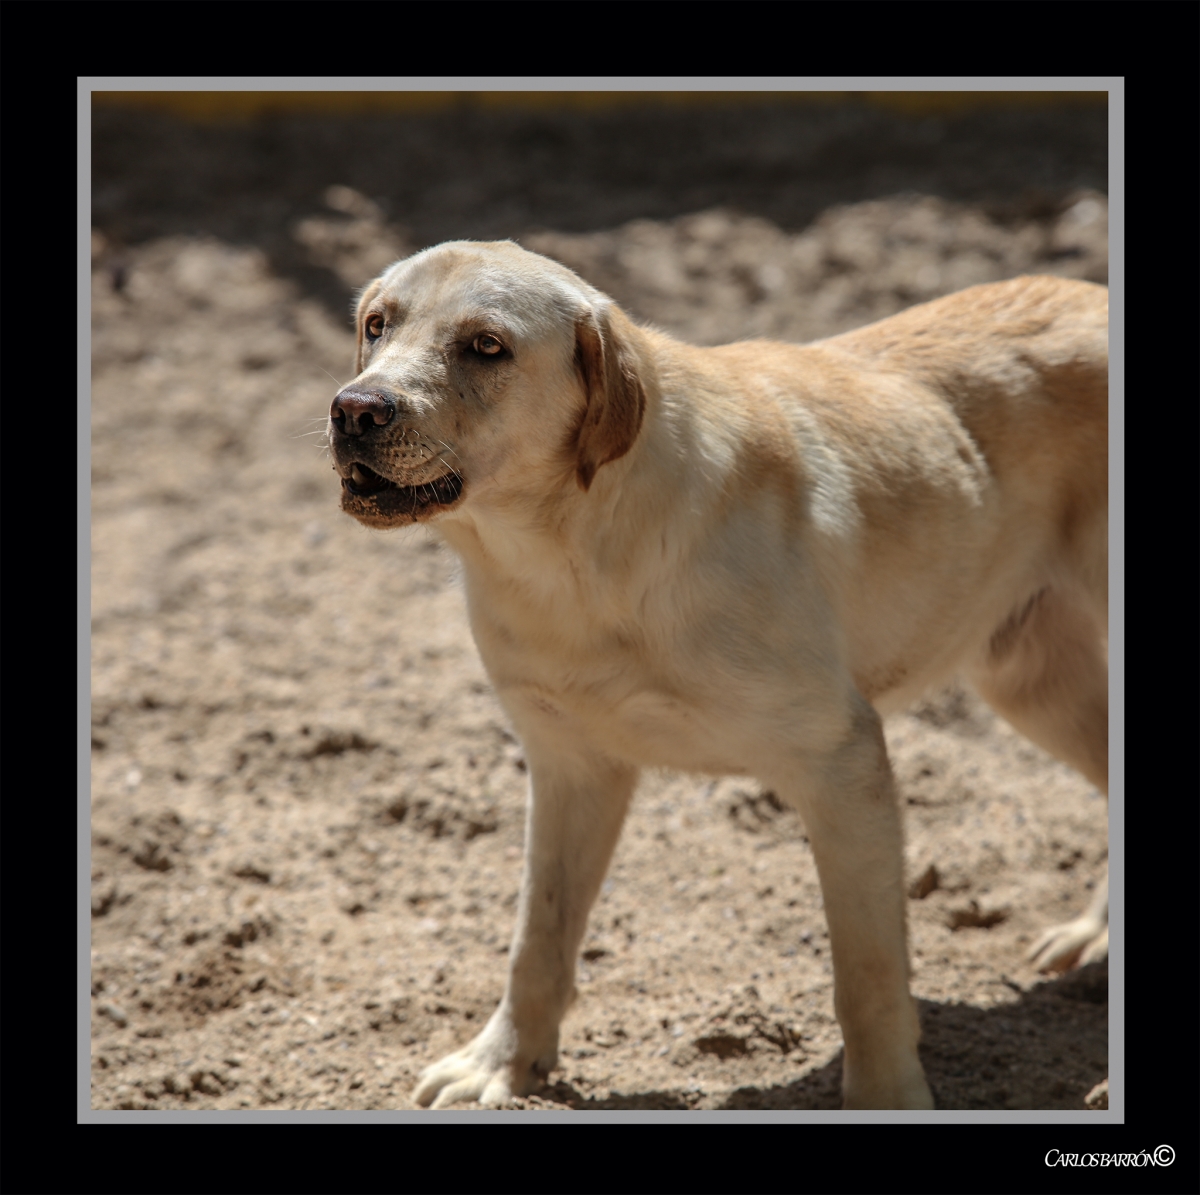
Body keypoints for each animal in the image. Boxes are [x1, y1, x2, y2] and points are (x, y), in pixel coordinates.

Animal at [326, 242, 1104, 1108]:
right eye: (376, 324)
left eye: (486, 346)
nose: (353, 410)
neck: (577, 560)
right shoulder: (570, 767)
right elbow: (538, 938)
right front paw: (503, 1063)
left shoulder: (842, 766)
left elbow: (865, 975)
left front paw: (886, 1095)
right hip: (1031, 681)